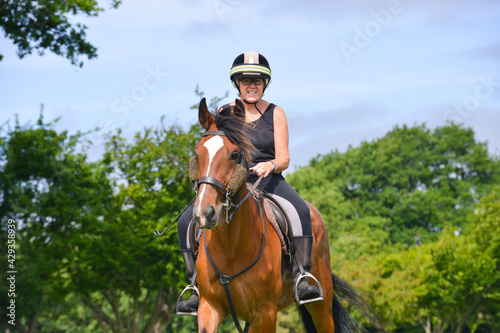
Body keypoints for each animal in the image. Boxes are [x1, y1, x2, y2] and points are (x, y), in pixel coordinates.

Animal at [191, 98, 382, 332]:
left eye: (234, 154)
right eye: (197, 154)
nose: (204, 212)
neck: (231, 246)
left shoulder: (265, 313)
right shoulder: (209, 308)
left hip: (321, 305)